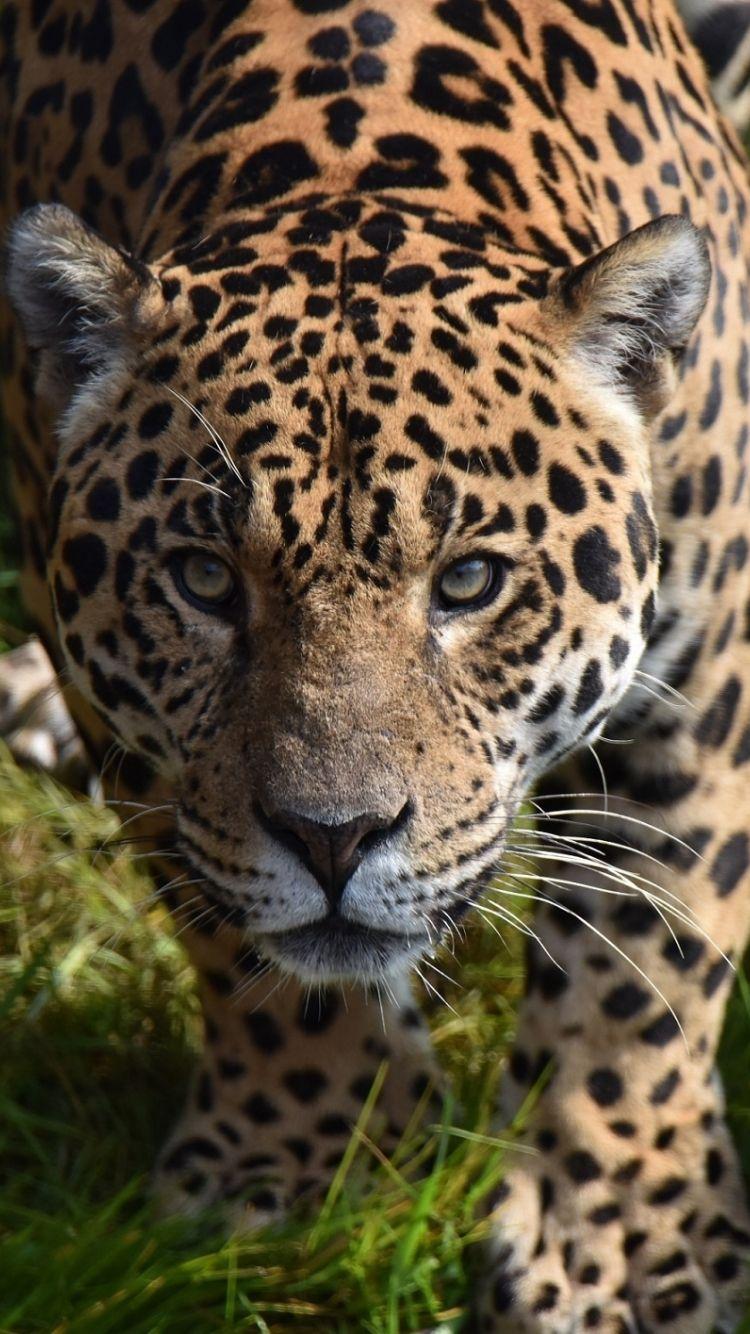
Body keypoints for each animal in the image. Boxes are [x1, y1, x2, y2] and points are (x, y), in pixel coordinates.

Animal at [3, 0, 750, 1328]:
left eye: (469, 581)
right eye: (206, 580)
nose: (336, 838)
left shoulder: (709, 655)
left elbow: (653, 946)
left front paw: (619, 1238)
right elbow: (237, 933)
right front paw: (307, 1155)